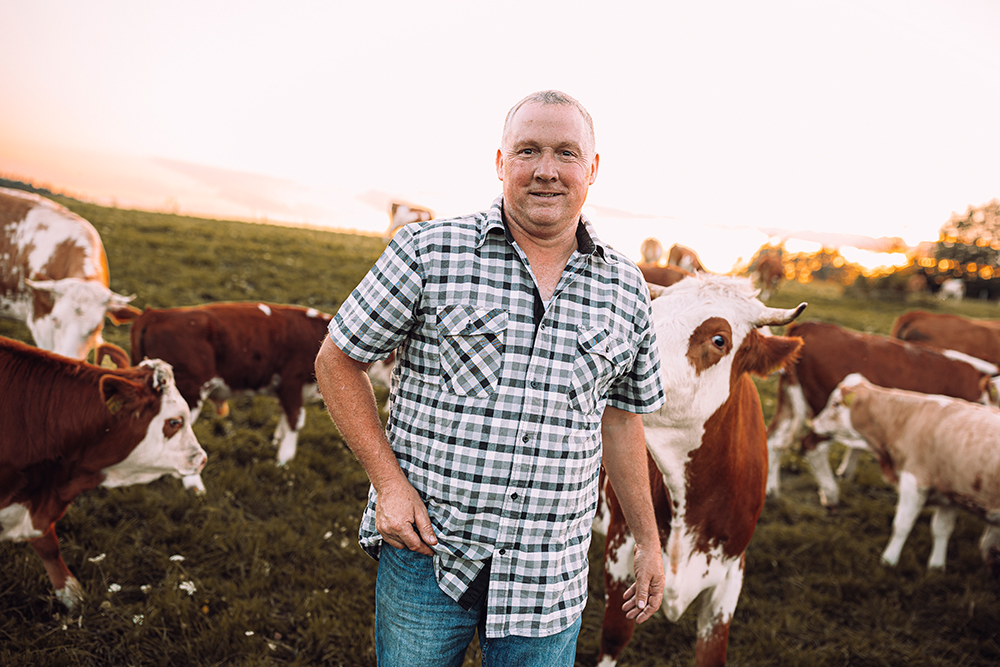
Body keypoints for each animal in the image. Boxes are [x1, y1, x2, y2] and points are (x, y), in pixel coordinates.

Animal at [130, 302, 339, 492]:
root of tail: (155, 314)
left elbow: (284, 417)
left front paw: (277, 442)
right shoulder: (291, 384)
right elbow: (295, 421)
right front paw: (283, 461)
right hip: (188, 392)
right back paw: (195, 486)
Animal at [766, 321, 1000, 509]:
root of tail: (811, 326)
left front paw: (846, 472)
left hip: (788, 402)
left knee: (773, 438)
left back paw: (770, 490)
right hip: (825, 413)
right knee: (811, 446)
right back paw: (831, 496)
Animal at [812, 373, 1000, 575]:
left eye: (836, 404)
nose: (814, 423)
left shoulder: (914, 482)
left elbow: (902, 525)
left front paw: (889, 560)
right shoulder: (949, 491)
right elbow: (942, 530)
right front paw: (936, 566)